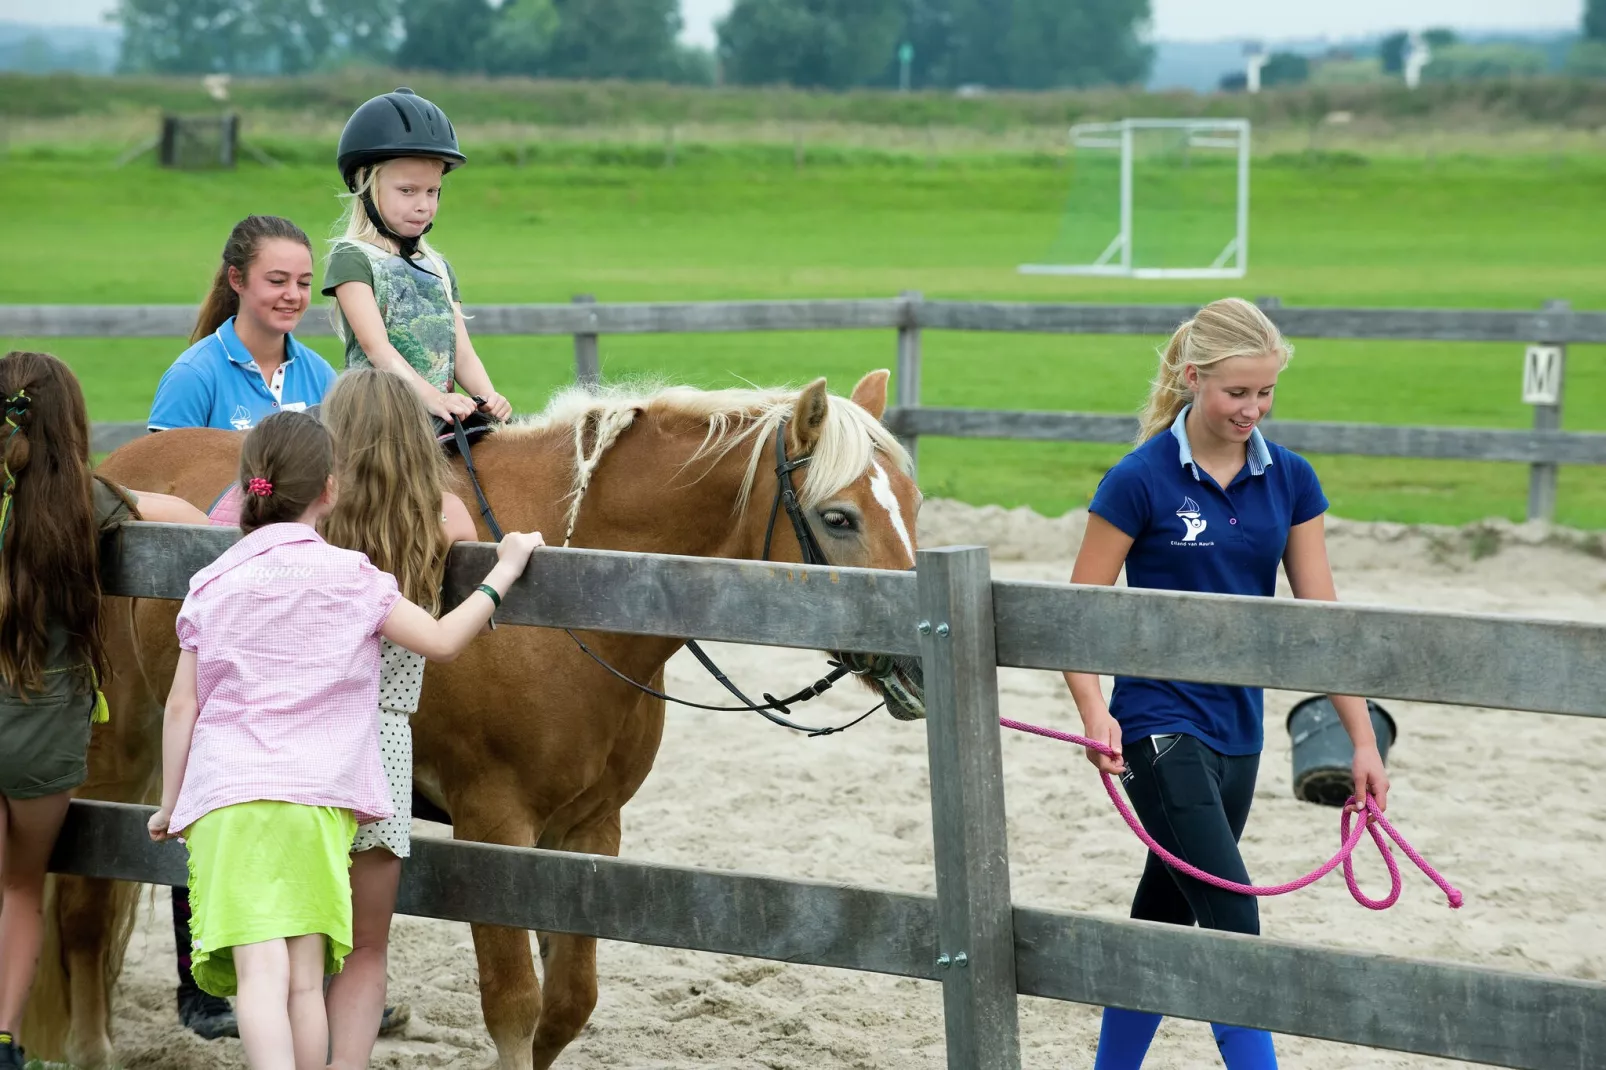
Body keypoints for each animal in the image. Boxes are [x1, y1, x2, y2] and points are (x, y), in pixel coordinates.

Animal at [21, 369, 931, 1066]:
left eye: (914, 505)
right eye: (839, 516)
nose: (917, 660)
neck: (579, 598)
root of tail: (115, 475)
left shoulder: (589, 828)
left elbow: (569, 1000)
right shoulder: (496, 826)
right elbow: (515, 1003)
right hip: (113, 756)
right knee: (84, 910)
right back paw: (91, 1049)